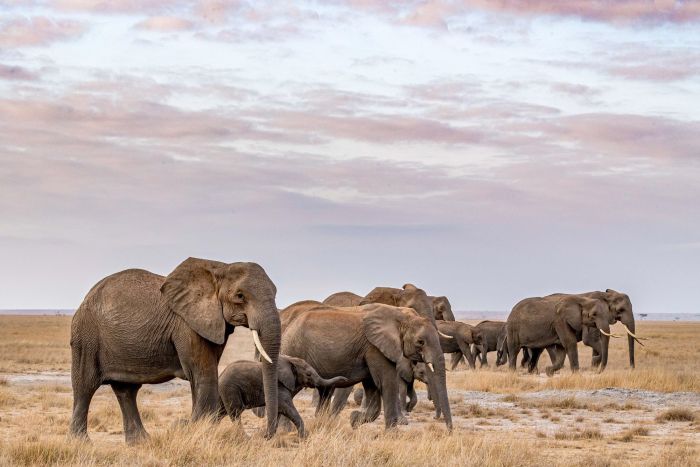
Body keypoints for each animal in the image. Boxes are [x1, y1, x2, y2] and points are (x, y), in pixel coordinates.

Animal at [69, 258, 282, 444]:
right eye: (240, 296)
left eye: (275, 293)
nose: (263, 436)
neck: (219, 267)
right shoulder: (186, 325)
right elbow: (204, 375)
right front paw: (196, 431)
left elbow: (201, 375)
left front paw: (192, 428)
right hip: (87, 336)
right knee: (86, 385)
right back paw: (82, 442)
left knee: (126, 390)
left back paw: (141, 442)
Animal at [217, 354, 346, 438]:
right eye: (308, 374)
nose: (345, 379)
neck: (291, 360)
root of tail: (221, 375)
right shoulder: (279, 386)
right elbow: (287, 408)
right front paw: (304, 437)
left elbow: (279, 411)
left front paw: (270, 436)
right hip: (231, 389)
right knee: (235, 412)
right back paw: (245, 437)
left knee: (221, 411)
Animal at [280, 304, 454, 432]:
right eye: (420, 342)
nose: (449, 431)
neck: (401, 316)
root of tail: (289, 326)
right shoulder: (374, 347)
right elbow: (386, 382)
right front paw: (391, 434)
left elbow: (373, 387)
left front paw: (354, 420)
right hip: (293, 348)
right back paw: (286, 430)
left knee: (325, 391)